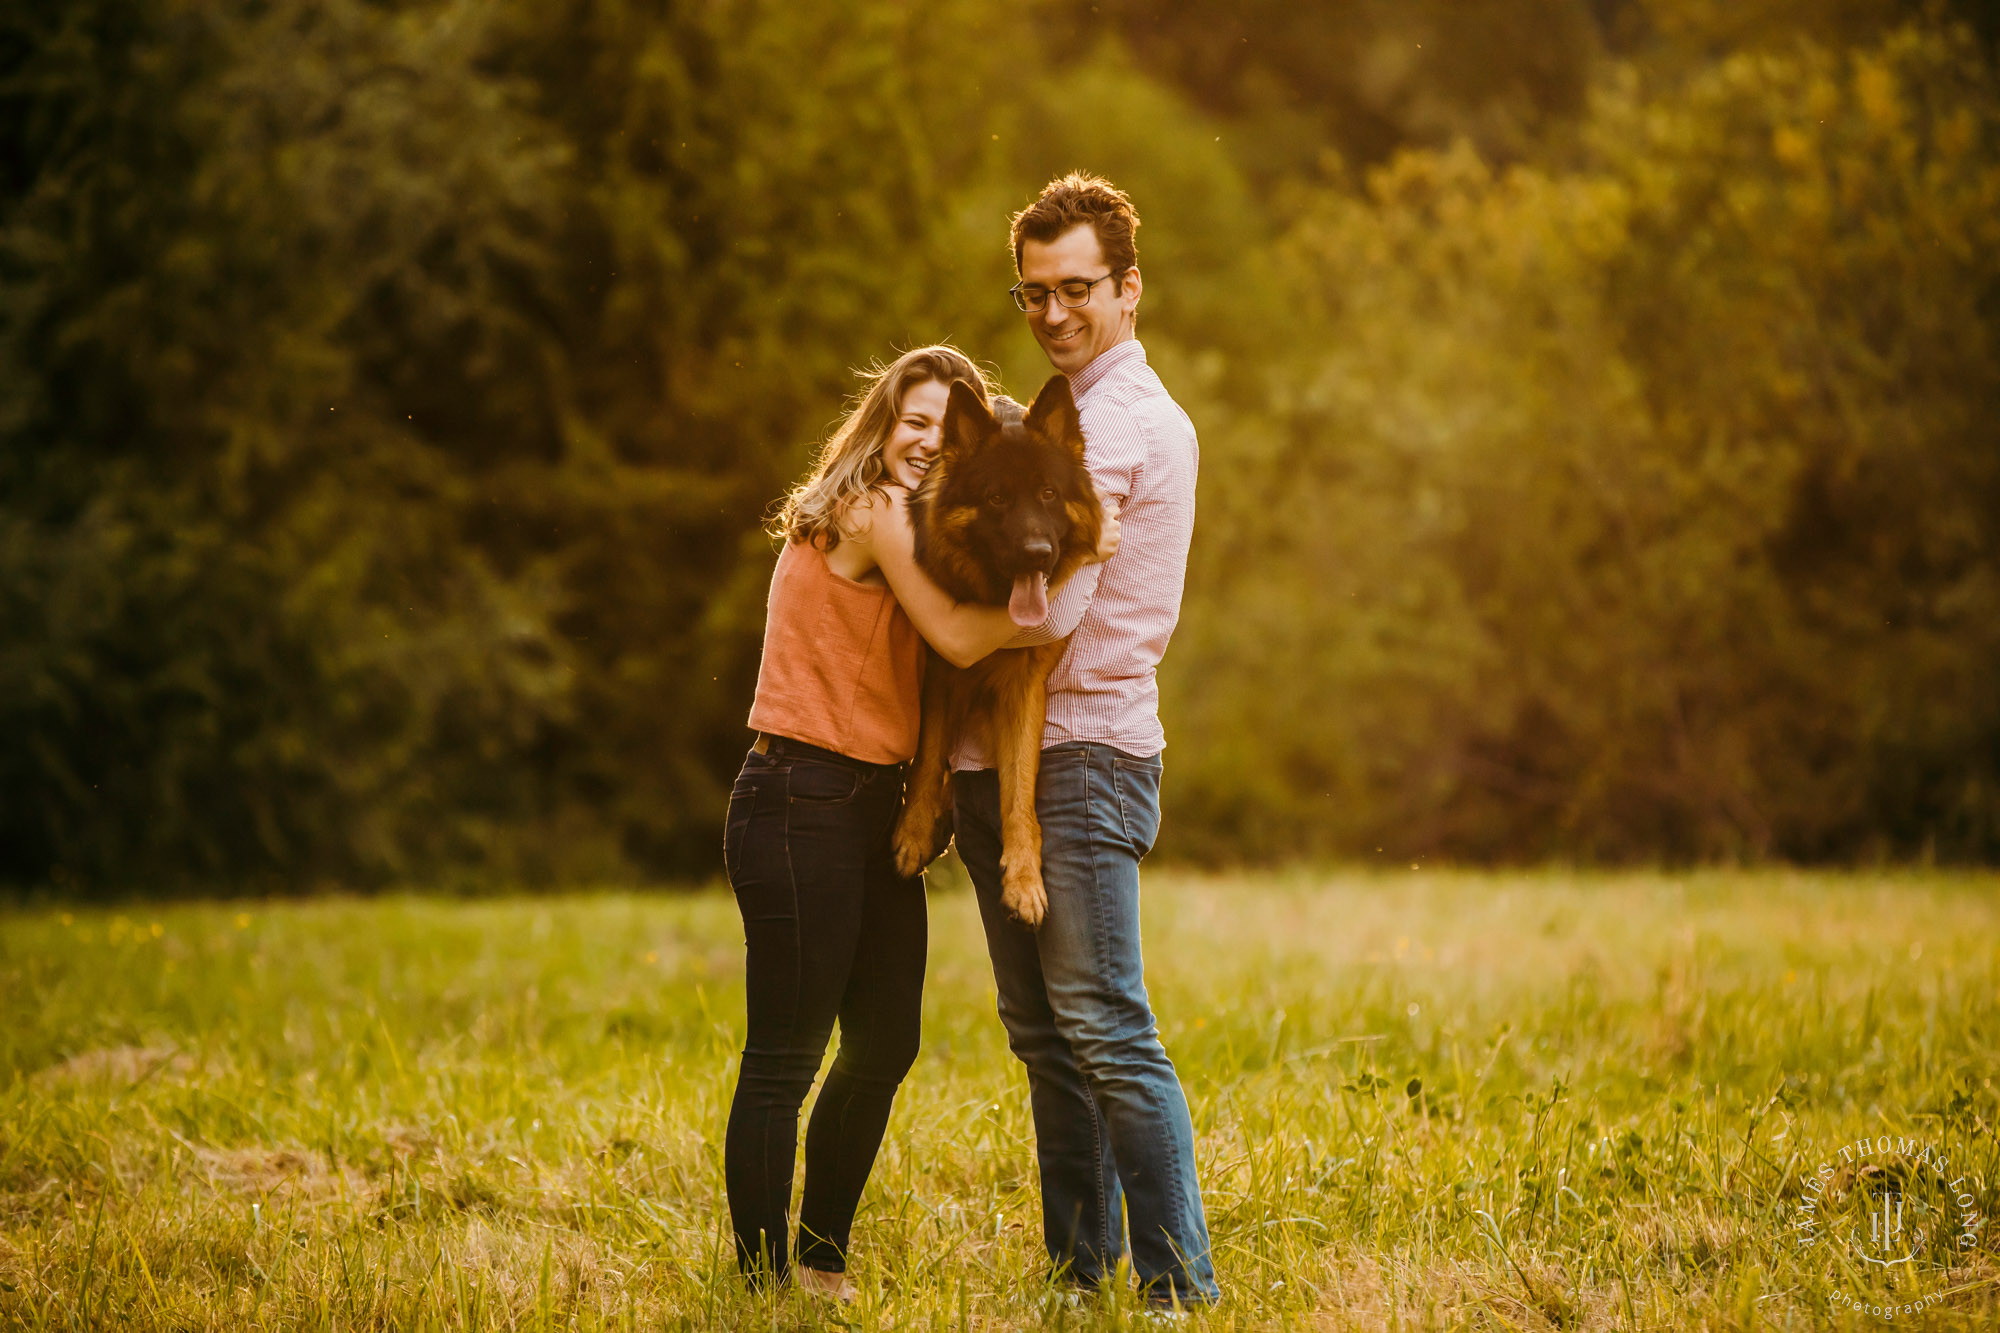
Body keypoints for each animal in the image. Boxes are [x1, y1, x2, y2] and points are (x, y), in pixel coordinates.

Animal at [896, 368, 1104, 920]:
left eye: (1048, 493)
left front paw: (1025, 879)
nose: (1036, 553)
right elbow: (928, 757)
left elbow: (1019, 790)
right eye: (996, 498)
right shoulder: (940, 676)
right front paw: (914, 831)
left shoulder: (1023, 692)